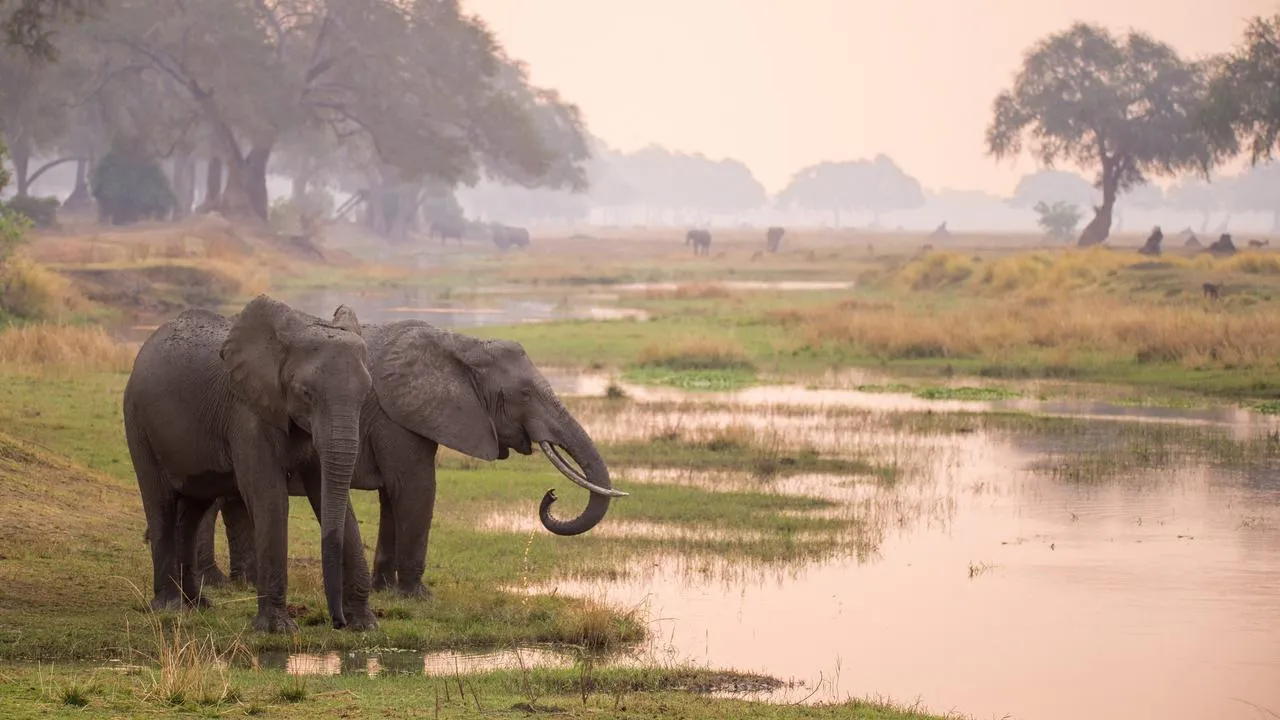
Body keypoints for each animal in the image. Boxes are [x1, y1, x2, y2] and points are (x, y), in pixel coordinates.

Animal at [123, 295, 377, 632]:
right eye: (306, 393)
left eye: (365, 395)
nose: (337, 622)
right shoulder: (246, 412)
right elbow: (268, 495)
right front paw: (277, 629)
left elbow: (330, 496)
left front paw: (365, 625)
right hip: (138, 423)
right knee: (161, 504)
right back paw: (170, 608)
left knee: (192, 511)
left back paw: (197, 605)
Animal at [191, 319, 629, 597]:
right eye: (524, 394)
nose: (551, 495)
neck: (462, 346)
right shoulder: (395, 415)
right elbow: (417, 487)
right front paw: (418, 596)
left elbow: (393, 495)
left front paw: (385, 590)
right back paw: (213, 585)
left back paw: (232, 584)